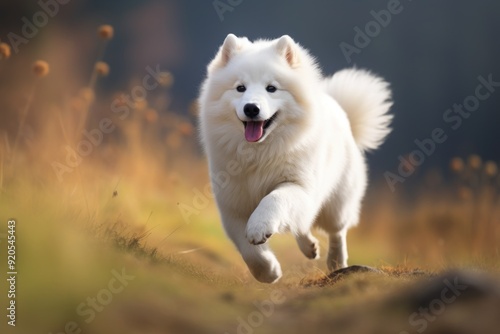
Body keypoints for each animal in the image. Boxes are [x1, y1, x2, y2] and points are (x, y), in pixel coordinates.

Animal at [197, 34, 392, 284]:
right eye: (240, 88)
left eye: (271, 88)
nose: (251, 108)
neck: (260, 152)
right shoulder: (233, 204)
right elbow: (248, 249)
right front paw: (268, 272)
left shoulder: (298, 186)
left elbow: (273, 199)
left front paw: (260, 227)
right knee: (302, 223)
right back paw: (309, 248)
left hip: (336, 204)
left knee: (336, 231)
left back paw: (336, 262)